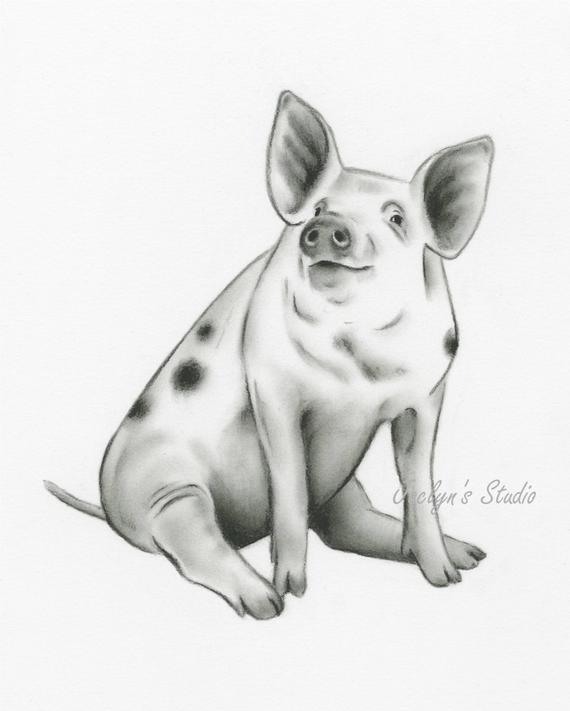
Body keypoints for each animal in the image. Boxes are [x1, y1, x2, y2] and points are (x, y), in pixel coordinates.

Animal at [45, 91, 493, 620]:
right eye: (319, 206)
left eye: (396, 218)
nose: (326, 225)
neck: (359, 363)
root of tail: (110, 507)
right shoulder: (272, 388)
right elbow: (290, 487)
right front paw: (293, 591)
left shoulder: (426, 395)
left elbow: (419, 479)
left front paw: (446, 580)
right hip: (166, 488)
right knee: (194, 541)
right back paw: (264, 602)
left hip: (341, 488)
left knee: (348, 525)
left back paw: (470, 554)